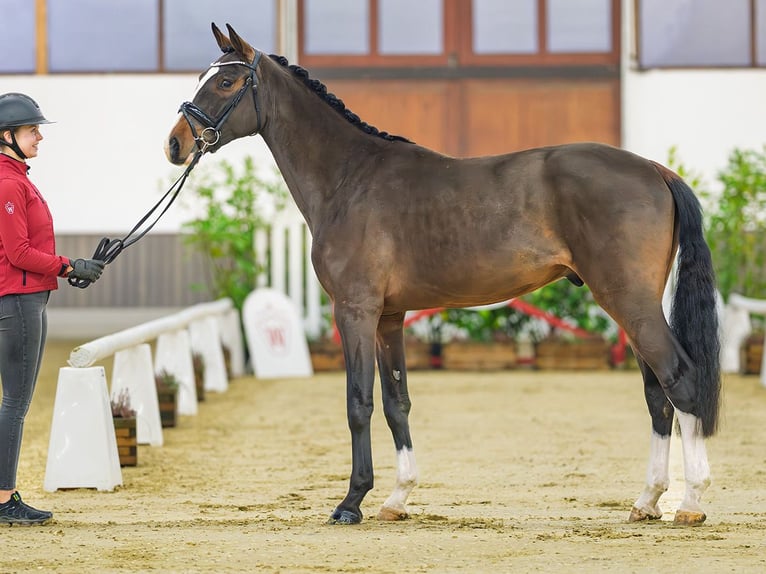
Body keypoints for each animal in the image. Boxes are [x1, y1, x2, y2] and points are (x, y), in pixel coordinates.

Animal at [165, 23, 724, 528]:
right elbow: (397, 402)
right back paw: (648, 501)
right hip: (631, 305)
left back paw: (692, 502)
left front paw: (351, 503)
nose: (175, 145)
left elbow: (358, 402)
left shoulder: (355, 310)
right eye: (203, 76)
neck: (349, 178)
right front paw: (397, 498)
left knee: (680, 380)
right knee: (657, 395)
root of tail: (654, 169)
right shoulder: (389, 317)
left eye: (226, 82)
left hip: (628, 300)